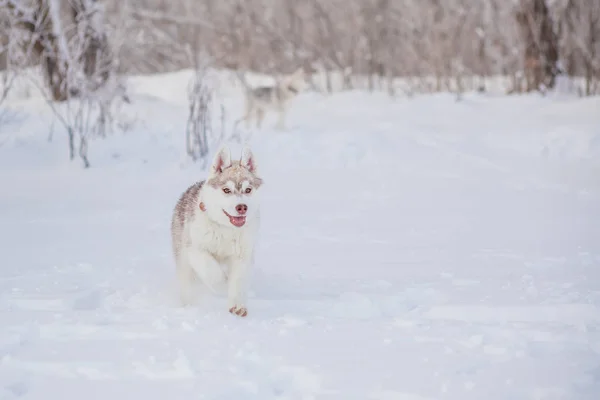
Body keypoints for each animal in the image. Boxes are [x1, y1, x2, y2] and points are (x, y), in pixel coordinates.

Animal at [169, 145, 262, 318]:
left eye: (248, 189)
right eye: (226, 190)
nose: (242, 207)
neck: (226, 229)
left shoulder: (243, 255)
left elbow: (238, 281)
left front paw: (237, 305)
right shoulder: (195, 249)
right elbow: (212, 273)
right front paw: (223, 285)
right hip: (183, 260)